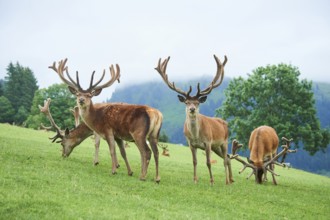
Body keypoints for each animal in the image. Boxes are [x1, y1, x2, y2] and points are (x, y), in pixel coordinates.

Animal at [156, 54, 233, 185]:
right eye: (187, 102)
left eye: (197, 103)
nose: (192, 109)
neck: (196, 136)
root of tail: (225, 122)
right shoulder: (191, 144)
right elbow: (194, 161)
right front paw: (195, 180)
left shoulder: (208, 142)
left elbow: (208, 162)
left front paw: (212, 181)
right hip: (216, 146)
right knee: (227, 157)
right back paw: (230, 180)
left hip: (224, 141)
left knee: (225, 159)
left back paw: (227, 181)